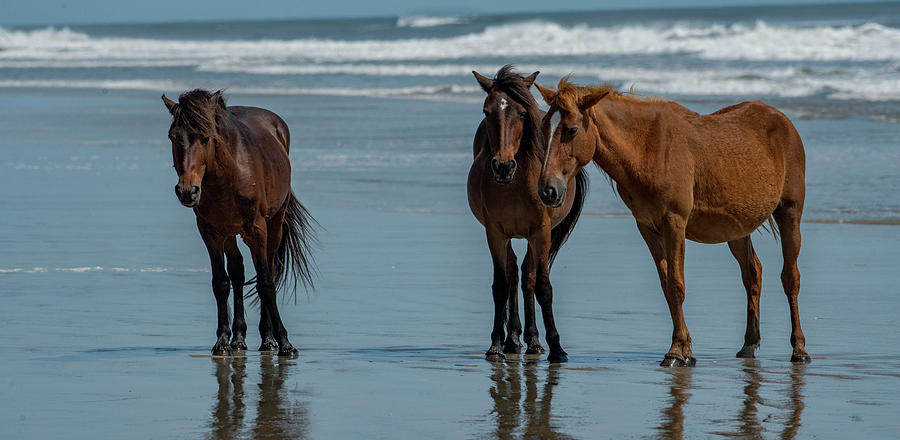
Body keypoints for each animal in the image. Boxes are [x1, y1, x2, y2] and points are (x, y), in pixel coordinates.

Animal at [162, 89, 316, 358]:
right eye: (173, 136)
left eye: (206, 138)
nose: (187, 191)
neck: (229, 175)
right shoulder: (210, 232)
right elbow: (221, 283)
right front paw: (223, 341)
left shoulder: (257, 229)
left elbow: (266, 283)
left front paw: (285, 343)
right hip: (230, 233)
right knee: (237, 272)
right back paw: (239, 339)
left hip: (274, 224)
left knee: (269, 270)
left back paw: (267, 339)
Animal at [468, 65, 588, 360]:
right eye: (486, 111)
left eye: (522, 113)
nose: (502, 166)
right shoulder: (495, 233)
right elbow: (501, 285)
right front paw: (496, 344)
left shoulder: (541, 233)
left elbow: (542, 286)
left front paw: (557, 347)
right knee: (514, 275)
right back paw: (513, 339)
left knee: (528, 277)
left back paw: (533, 340)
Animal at [532, 80, 812, 368]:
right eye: (544, 127)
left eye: (571, 130)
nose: (547, 190)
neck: (648, 149)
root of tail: (782, 119)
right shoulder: (647, 227)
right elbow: (667, 285)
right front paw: (685, 347)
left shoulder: (674, 223)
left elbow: (677, 285)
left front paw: (677, 351)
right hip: (736, 229)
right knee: (752, 273)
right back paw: (749, 344)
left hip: (790, 213)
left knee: (790, 278)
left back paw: (799, 348)